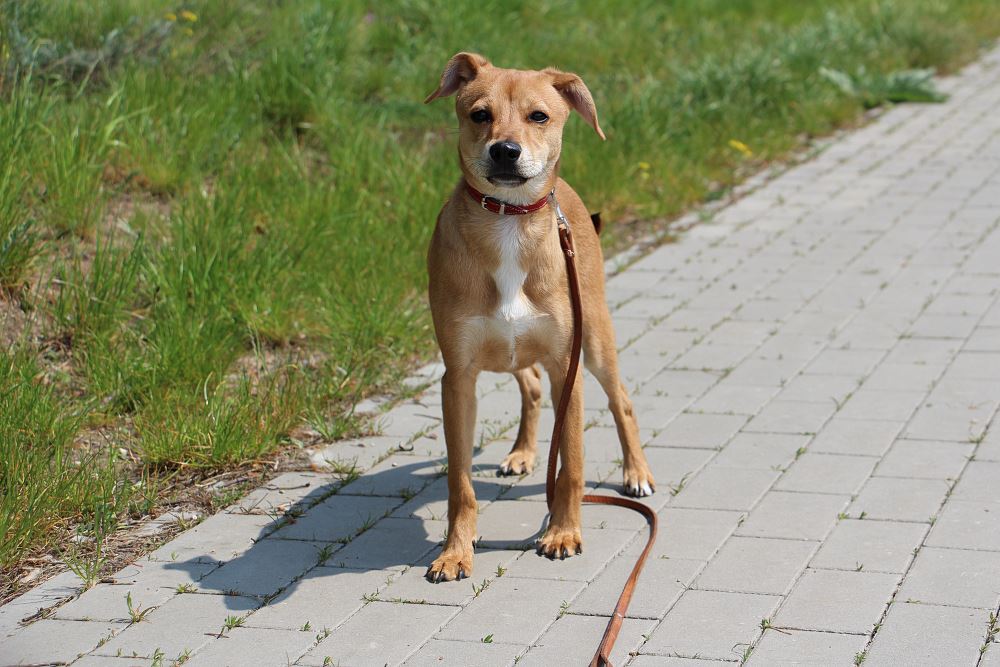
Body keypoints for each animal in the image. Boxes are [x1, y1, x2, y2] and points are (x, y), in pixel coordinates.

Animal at [424, 53, 655, 582]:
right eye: (479, 114)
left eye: (539, 116)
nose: (505, 151)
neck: (509, 223)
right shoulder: (458, 375)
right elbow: (459, 483)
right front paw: (455, 550)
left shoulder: (565, 366)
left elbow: (571, 464)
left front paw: (564, 532)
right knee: (528, 386)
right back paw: (522, 453)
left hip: (595, 341)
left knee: (621, 399)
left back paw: (636, 473)